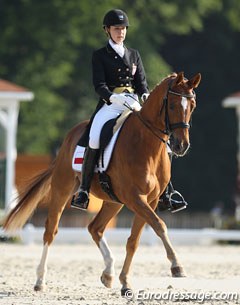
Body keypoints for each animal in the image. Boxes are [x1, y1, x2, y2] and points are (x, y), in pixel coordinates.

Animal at [2, 71, 201, 294]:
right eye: (173, 105)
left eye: (192, 106)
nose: (181, 145)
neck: (146, 145)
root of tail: (71, 135)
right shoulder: (136, 198)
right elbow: (159, 225)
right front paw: (177, 266)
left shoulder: (149, 200)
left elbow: (134, 240)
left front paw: (125, 282)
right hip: (62, 189)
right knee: (50, 231)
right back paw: (40, 280)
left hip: (114, 201)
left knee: (95, 228)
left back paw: (108, 273)